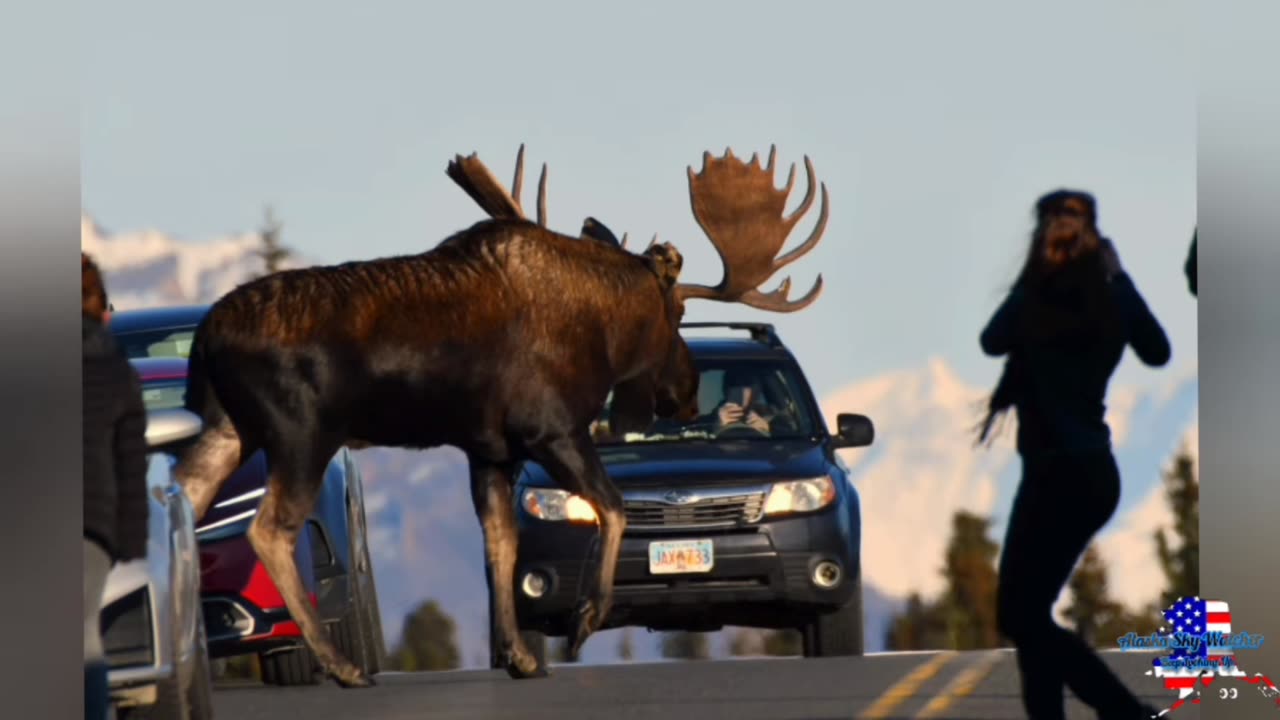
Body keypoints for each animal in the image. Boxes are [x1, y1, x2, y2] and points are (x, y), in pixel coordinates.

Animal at [172, 142, 829, 686]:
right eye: (677, 317)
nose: (687, 394)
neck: (603, 332)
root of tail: (206, 338)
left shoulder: (489, 450)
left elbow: (501, 546)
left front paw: (518, 655)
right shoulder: (551, 430)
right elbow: (612, 506)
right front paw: (585, 620)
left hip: (228, 429)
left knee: (185, 501)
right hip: (301, 434)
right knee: (268, 529)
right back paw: (342, 666)